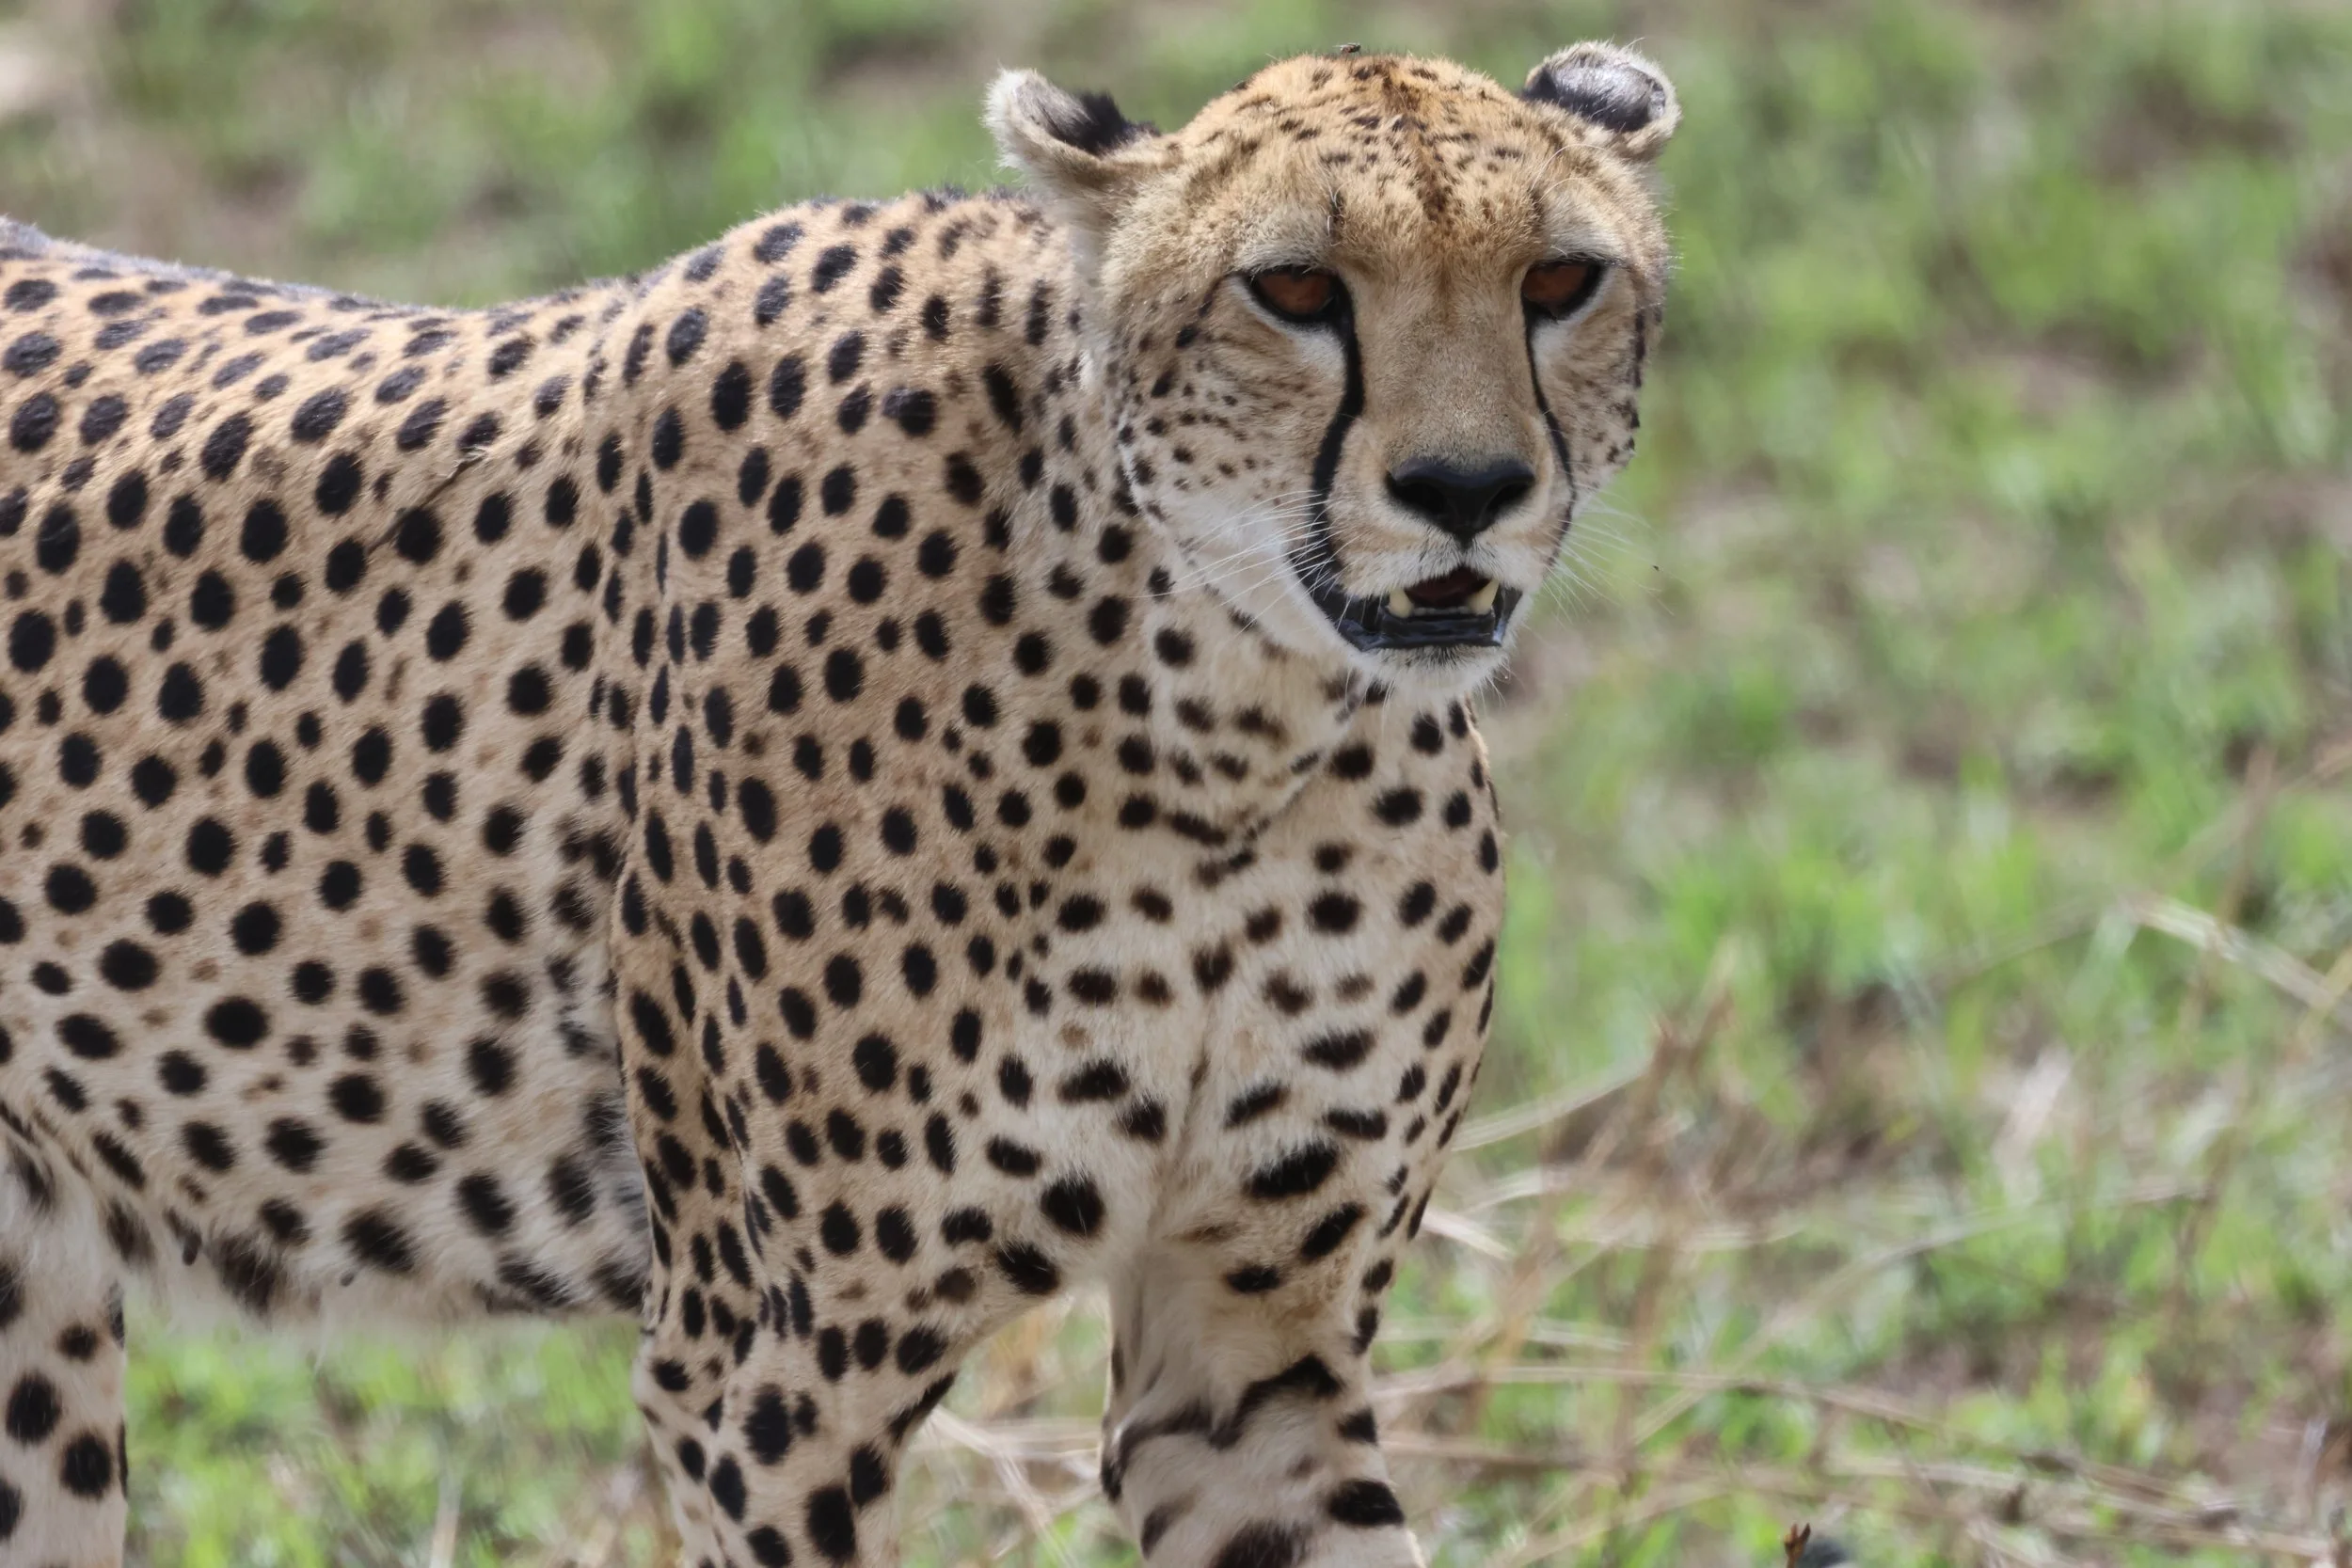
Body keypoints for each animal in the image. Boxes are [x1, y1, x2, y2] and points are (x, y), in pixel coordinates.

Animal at [0, 39, 1679, 1568]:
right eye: (1297, 290)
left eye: (1558, 281)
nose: (1464, 488)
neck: (1225, 715)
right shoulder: (768, 1371)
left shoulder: (1253, 1347)